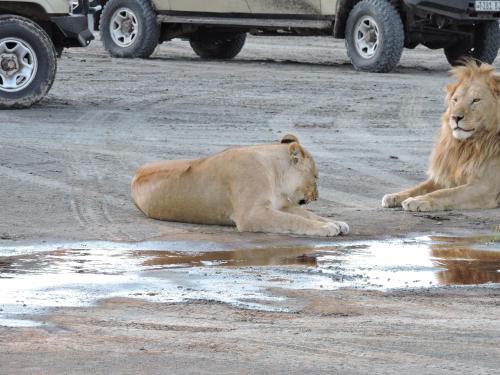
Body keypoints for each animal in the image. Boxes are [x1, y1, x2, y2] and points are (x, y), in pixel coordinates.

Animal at [131, 134, 350, 236]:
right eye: (316, 177)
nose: (317, 196)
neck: (274, 174)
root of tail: (136, 173)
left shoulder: (282, 205)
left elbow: (309, 215)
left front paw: (337, 223)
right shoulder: (252, 215)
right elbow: (295, 220)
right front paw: (326, 228)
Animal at [382, 63, 500, 213]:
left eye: (476, 100)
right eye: (455, 100)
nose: (455, 117)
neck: (467, 145)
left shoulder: (486, 187)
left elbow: (446, 193)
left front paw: (418, 201)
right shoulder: (447, 176)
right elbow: (420, 187)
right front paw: (395, 196)